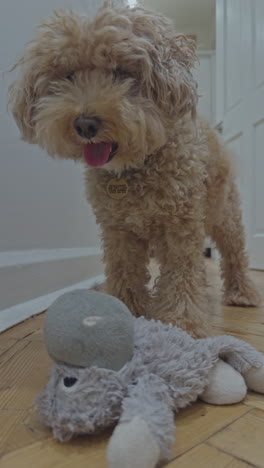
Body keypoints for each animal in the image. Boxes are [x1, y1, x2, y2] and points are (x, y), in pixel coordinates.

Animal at [9, 0, 260, 336]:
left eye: (121, 72)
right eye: (69, 75)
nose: (84, 124)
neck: (136, 166)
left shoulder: (180, 225)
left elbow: (181, 273)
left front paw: (182, 322)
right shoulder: (119, 229)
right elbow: (124, 271)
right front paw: (126, 310)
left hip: (224, 214)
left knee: (234, 253)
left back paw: (242, 292)